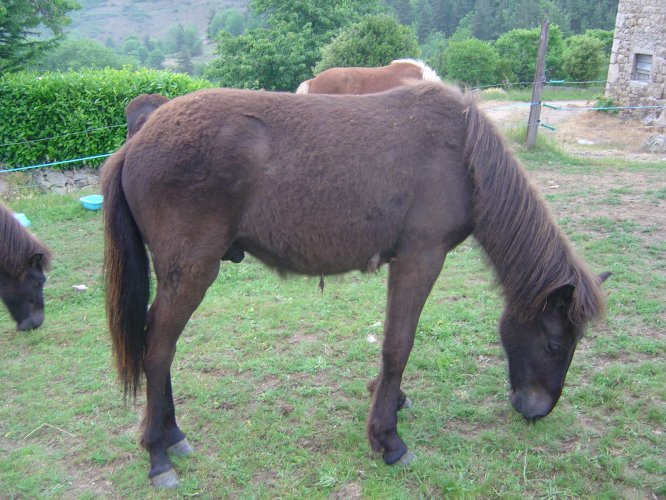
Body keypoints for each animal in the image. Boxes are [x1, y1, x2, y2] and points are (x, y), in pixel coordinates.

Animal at [102, 81, 610, 488]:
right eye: (554, 344)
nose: (536, 411)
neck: (463, 154)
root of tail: (138, 141)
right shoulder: (420, 259)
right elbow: (398, 346)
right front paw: (388, 440)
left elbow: (392, 346)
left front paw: (391, 401)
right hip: (191, 274)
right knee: (158, 349)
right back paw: (158, 454)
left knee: (160, 347)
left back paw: (173, 435)